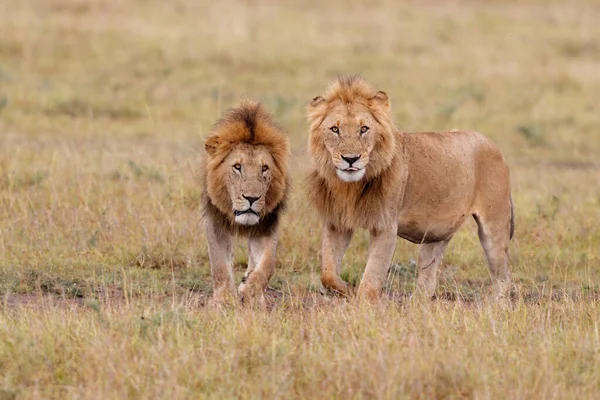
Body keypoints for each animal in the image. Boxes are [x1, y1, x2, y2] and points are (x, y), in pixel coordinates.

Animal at [200, 99, 290, 304]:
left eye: (264, 168)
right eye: (237, 167)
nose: (251, 198)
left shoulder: (266, 224)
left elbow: (267, 265)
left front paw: (250, 291)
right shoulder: (215, 221)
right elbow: (219, 265)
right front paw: (224, 299)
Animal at [308, 75, 512, 302]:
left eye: (364, 129)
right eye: (335, 129)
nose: (351, 159)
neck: (350, 187)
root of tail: (493, 145)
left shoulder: (386, 226)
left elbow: (371, 277)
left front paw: (363, 303)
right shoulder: (338, 222)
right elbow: (328, 273)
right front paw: (348, 290)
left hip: (493, 229)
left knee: (503, 278)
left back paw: (495, 303)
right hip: (435, 234)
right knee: (428, 280)